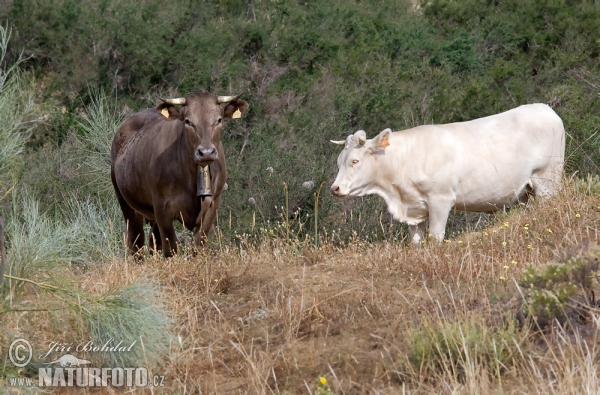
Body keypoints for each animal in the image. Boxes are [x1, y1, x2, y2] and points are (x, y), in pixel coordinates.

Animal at [110, 90, 248, 256]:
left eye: (219, 120)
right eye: (188, 121)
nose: (206, 152)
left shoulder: (213, 204)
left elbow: (198, 246)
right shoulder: (162, 207)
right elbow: (171, 249)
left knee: (153, 242)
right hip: (126, 203)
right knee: (136, 242)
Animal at [330, 103, 564, 244]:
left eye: (355, 161)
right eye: (339, 161)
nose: (335, 188)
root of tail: (544, 108)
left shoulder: (440, 199)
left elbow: (435, 237)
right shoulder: (414, 208)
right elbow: (416, 241)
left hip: (547, 181)